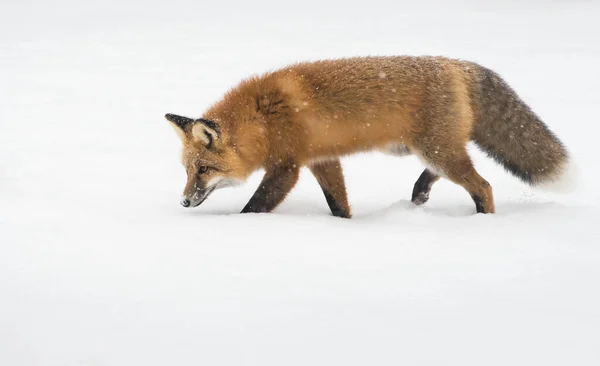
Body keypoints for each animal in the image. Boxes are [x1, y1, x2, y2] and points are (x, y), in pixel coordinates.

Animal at [165, 55, 572, 216]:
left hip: (436, 150)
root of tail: (457, 64)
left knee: (483, 185)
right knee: (448, 174)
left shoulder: (287, 167)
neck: (263, 117)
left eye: (203, 170)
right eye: (186, 170)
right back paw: (419, 195)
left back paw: (483, 222)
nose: (183, 202)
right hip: (429, 149)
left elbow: (254, 206)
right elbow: (338, 205)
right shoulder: (322, 160)